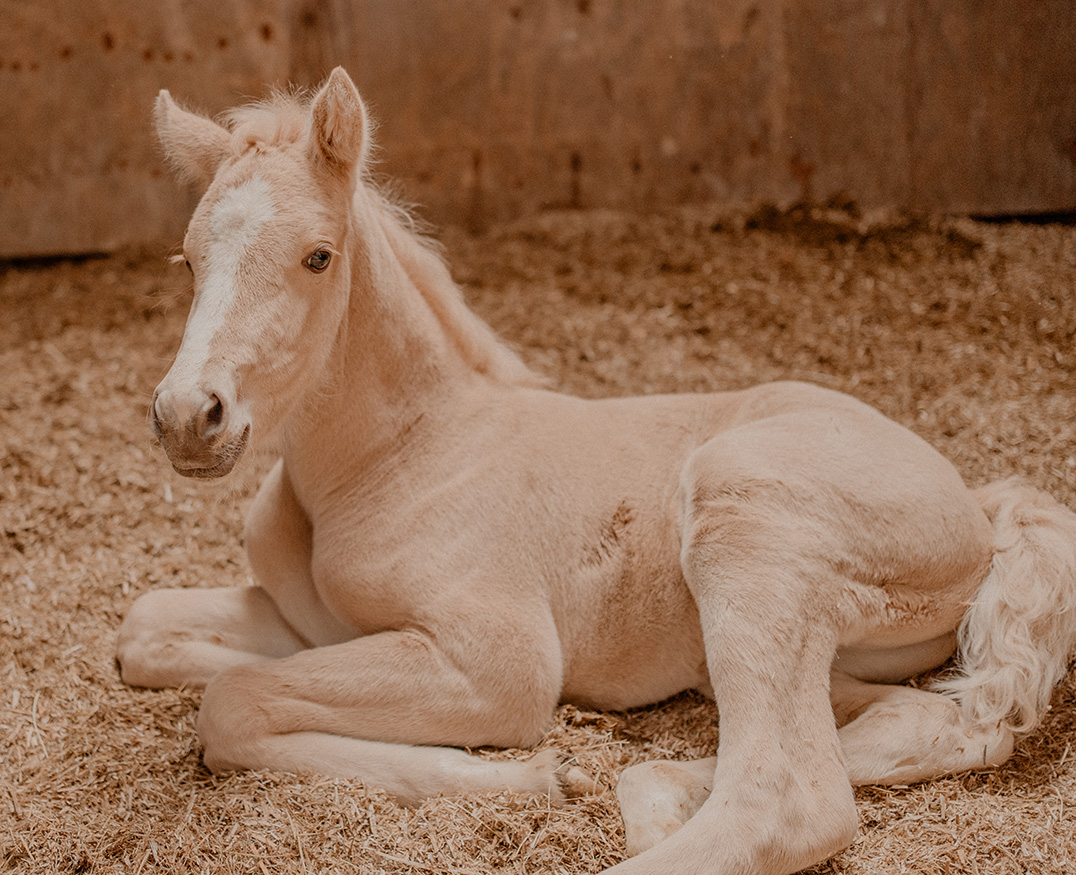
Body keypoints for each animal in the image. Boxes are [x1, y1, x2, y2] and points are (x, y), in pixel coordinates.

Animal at [117, 69, 1076, 873]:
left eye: (318, 255)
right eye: (188, 260)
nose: (189, 417)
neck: (395, 458)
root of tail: (980, 506)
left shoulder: (497, 660)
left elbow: (233, 701)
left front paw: (533, 773)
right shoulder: (312, 623)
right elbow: (145, 633)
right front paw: (547, 774)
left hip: (744, 515)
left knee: (790, 796)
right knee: (915, 716)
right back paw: (655, 789)